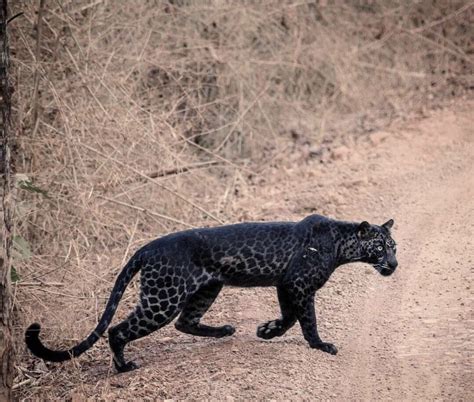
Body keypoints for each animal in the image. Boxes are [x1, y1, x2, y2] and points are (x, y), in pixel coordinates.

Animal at [25, 215, 396, 372]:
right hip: (163, 298)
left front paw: (266, 331)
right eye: (380, 248)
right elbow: (307, 320)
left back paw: (224, 331)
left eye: (395, 246)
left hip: (207, 288)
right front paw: (321, 345)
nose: (394, 265)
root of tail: (146, 248)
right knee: (118, 330)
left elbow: (289, 316)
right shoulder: (299, 285)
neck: (342, 243)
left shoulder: (285, 284)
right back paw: (124, 366)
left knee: (186, 322)